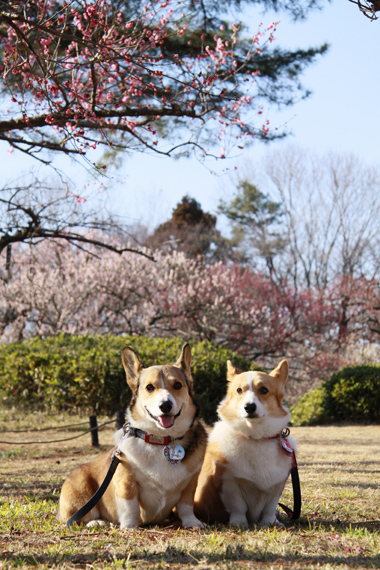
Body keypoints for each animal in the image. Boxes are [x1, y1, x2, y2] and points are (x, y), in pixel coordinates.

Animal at [59, 342, 206, 528]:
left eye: (178, 385)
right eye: (150, 387)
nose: (165, 405)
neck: (161, 439)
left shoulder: (190, 482)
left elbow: (186, 505)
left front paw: (192, 523)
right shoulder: (126, 481)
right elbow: (130, 507)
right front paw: (129, 527)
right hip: (81, 489)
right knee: (81, 516)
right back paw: (96, 522)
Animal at [194, 360, 296, 524]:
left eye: (264, 390)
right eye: (239, 390)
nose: (249, 407)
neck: (255, 437)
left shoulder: (278, 484)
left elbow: (270, 507)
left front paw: (270, 523)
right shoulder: (229, 482)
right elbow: (238, 505)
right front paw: (239, 523)